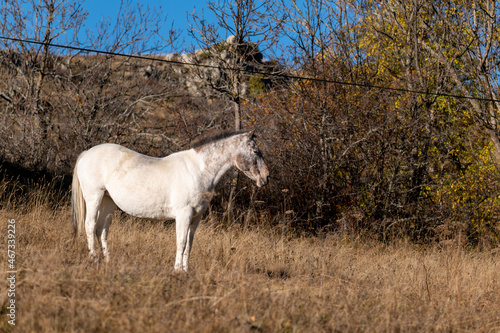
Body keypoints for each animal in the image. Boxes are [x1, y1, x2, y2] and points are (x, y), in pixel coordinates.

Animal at [70, 130, 270, 270]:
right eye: (255, 151)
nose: (266, 177)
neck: (198, 170)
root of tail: (86, 153)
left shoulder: (196, 217)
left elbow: (189, 244)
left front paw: (186, 271)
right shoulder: (184, 214)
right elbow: (181, 242)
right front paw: (177, 270)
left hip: (108, 201)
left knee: (101, 230)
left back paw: (107, 261)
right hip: (94, 197)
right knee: (90, 225)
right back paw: (94, 259)